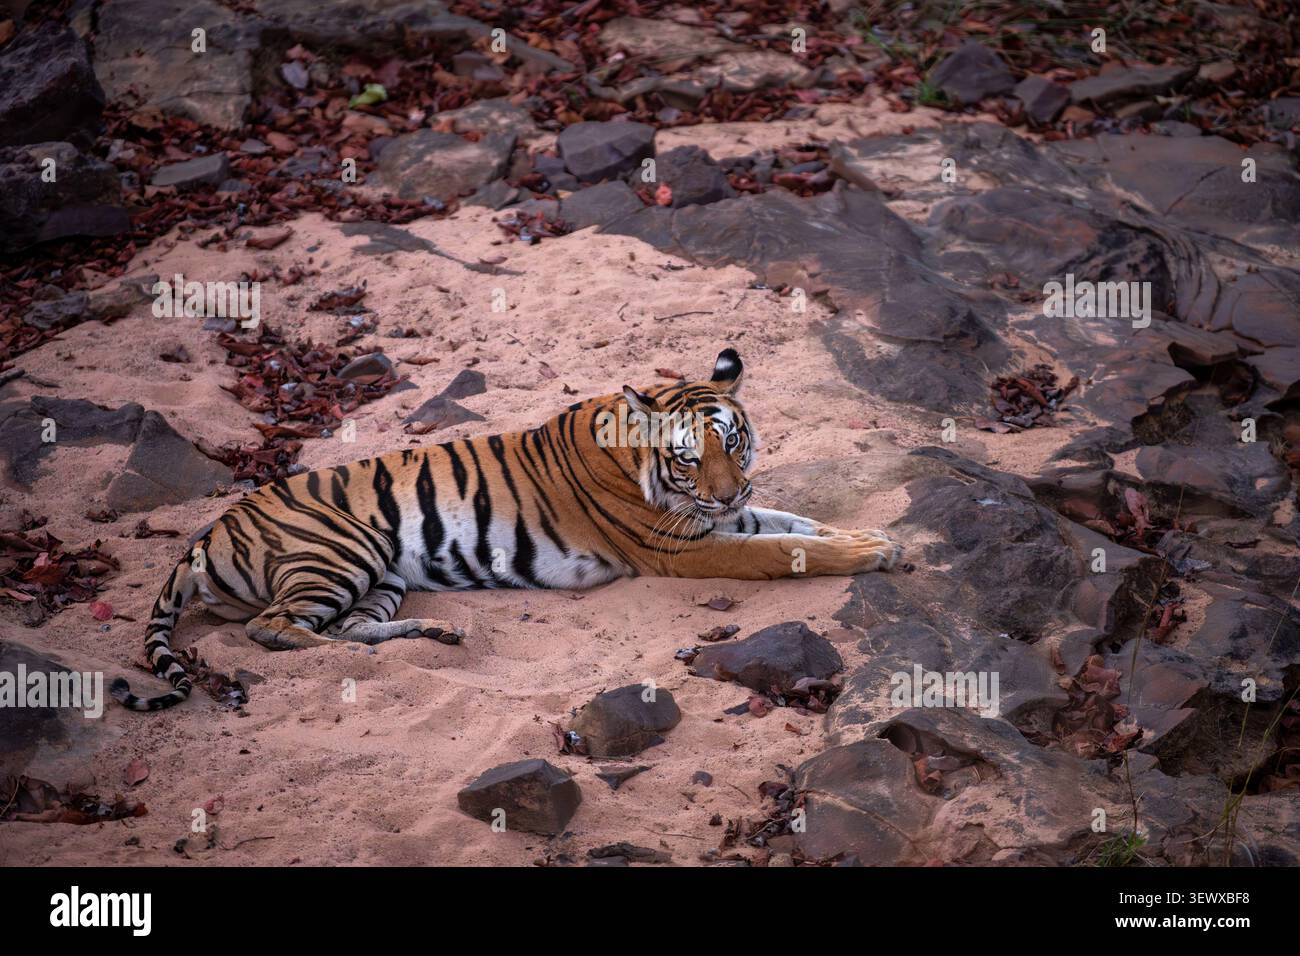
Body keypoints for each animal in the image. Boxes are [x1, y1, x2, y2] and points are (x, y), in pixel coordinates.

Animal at [111, 348, 902, 711]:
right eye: (688, 456)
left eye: (733, 442)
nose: (732, 487)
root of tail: (202, 536)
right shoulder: (684, 549)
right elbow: (781, 547)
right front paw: (872, 550)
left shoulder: (721, 519)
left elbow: (795, 522)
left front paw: (865, 536)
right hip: (345, 548)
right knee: (273, 629)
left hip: (382, 575)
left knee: (347, 627)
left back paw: (436, 636)